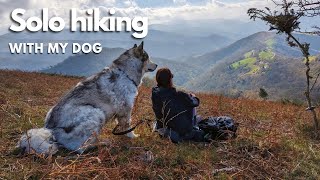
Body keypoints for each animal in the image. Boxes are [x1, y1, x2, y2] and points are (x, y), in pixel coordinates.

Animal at [17, 42, 158, 155]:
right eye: (148, 58)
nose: (156, 65)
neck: (125, 73)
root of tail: (50, 129)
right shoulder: (125, 108)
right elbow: (127, 125)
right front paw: (132, 136)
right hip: (96, 113)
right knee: (79, 148)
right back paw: (100, 144)